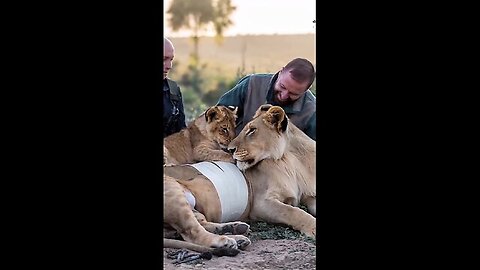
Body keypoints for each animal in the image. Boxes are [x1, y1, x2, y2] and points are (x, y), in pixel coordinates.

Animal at [163, 104, 316, 253]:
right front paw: (313, 227)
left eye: (252, 130)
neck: (291, 161)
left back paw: (236, 231)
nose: (230, 150)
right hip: (174, 194)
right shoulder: (261, 203)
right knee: (191, 232)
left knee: (200, 223)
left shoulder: (308, 195)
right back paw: (226, 241)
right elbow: (294, 212)